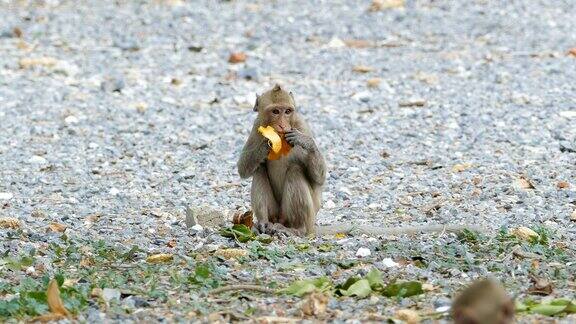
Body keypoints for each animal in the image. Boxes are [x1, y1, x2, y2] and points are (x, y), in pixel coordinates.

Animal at [236, 85, 480, 237]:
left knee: (296, 171)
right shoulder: (256, 125)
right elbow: (243, 169)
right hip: (278, 213)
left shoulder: (301, 124)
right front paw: (266, 144)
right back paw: (264, 224)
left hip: (306, 217)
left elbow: (319, 178)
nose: (282, 126)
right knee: (259, 170)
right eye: (275, 111)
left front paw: (305, 143)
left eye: (288, 111)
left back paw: (295, 230)